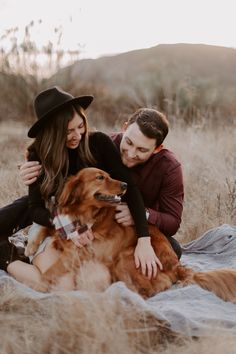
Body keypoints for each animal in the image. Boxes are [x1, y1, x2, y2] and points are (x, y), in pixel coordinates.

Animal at [25, 167, 236, 302]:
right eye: (100, 177)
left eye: (108, 175)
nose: (125, 184)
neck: (86, 214)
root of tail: (177, 266)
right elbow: (47, 227)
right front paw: (30, 246)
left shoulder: (76, 253)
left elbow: (50, 271)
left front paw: (37, 286)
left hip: (126, 258)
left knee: (143, 293)